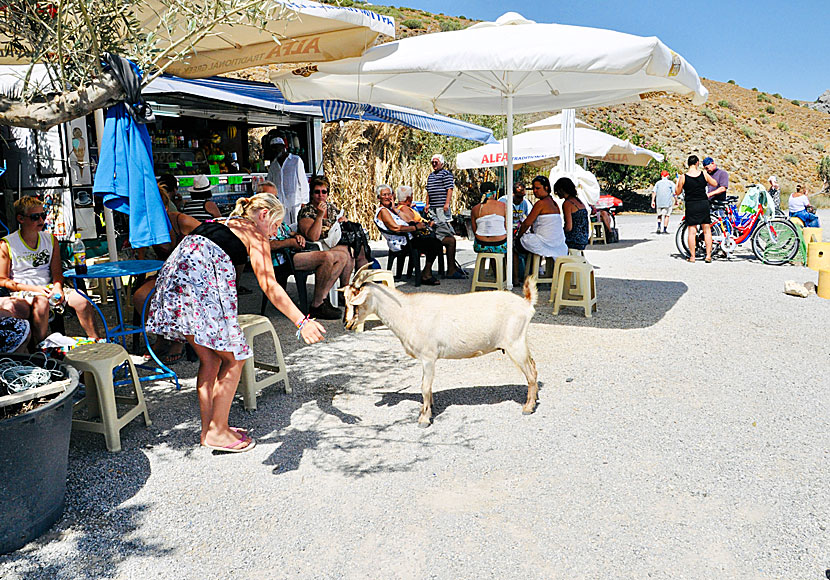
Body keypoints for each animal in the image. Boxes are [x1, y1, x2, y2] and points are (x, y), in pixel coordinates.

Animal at [342, 266, 540, 426]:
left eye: (355, 300)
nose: (347, 324)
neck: (407, 312)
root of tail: (526, 304)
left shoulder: (428, 357)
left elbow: (425, 387)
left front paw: (424, 418)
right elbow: (428, 387)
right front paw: (428, 408)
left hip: (515, 343)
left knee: (530, 373)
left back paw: (528, 407)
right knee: (534, 367)